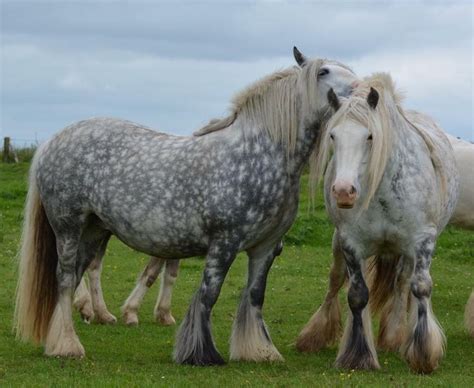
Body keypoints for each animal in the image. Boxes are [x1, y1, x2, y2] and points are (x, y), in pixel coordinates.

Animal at [12, 47, 358, 366]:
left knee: (75, 278)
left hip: (94, 232)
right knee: (64, 278)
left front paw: (259, 351)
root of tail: (52, 141)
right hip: (68, 228)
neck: (258, 155)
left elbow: (255, 295)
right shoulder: (224, 242)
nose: (360, 91)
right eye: (323, 72)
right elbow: (208, 294)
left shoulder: (266, 247)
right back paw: (67, 346)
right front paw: (199, 353)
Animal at [298, 73, 458, 372]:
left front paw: (423, 353)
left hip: (408, 252)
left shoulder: (422, 240)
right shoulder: (350, 243)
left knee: (404, 284)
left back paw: (396, 335)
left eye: (370, 136)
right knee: (335, 280)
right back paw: (314, 335)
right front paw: (358, 355)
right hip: (340, 246)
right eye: (333, 136)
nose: (343, 191)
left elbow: (420, 287)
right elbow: (357, 295)